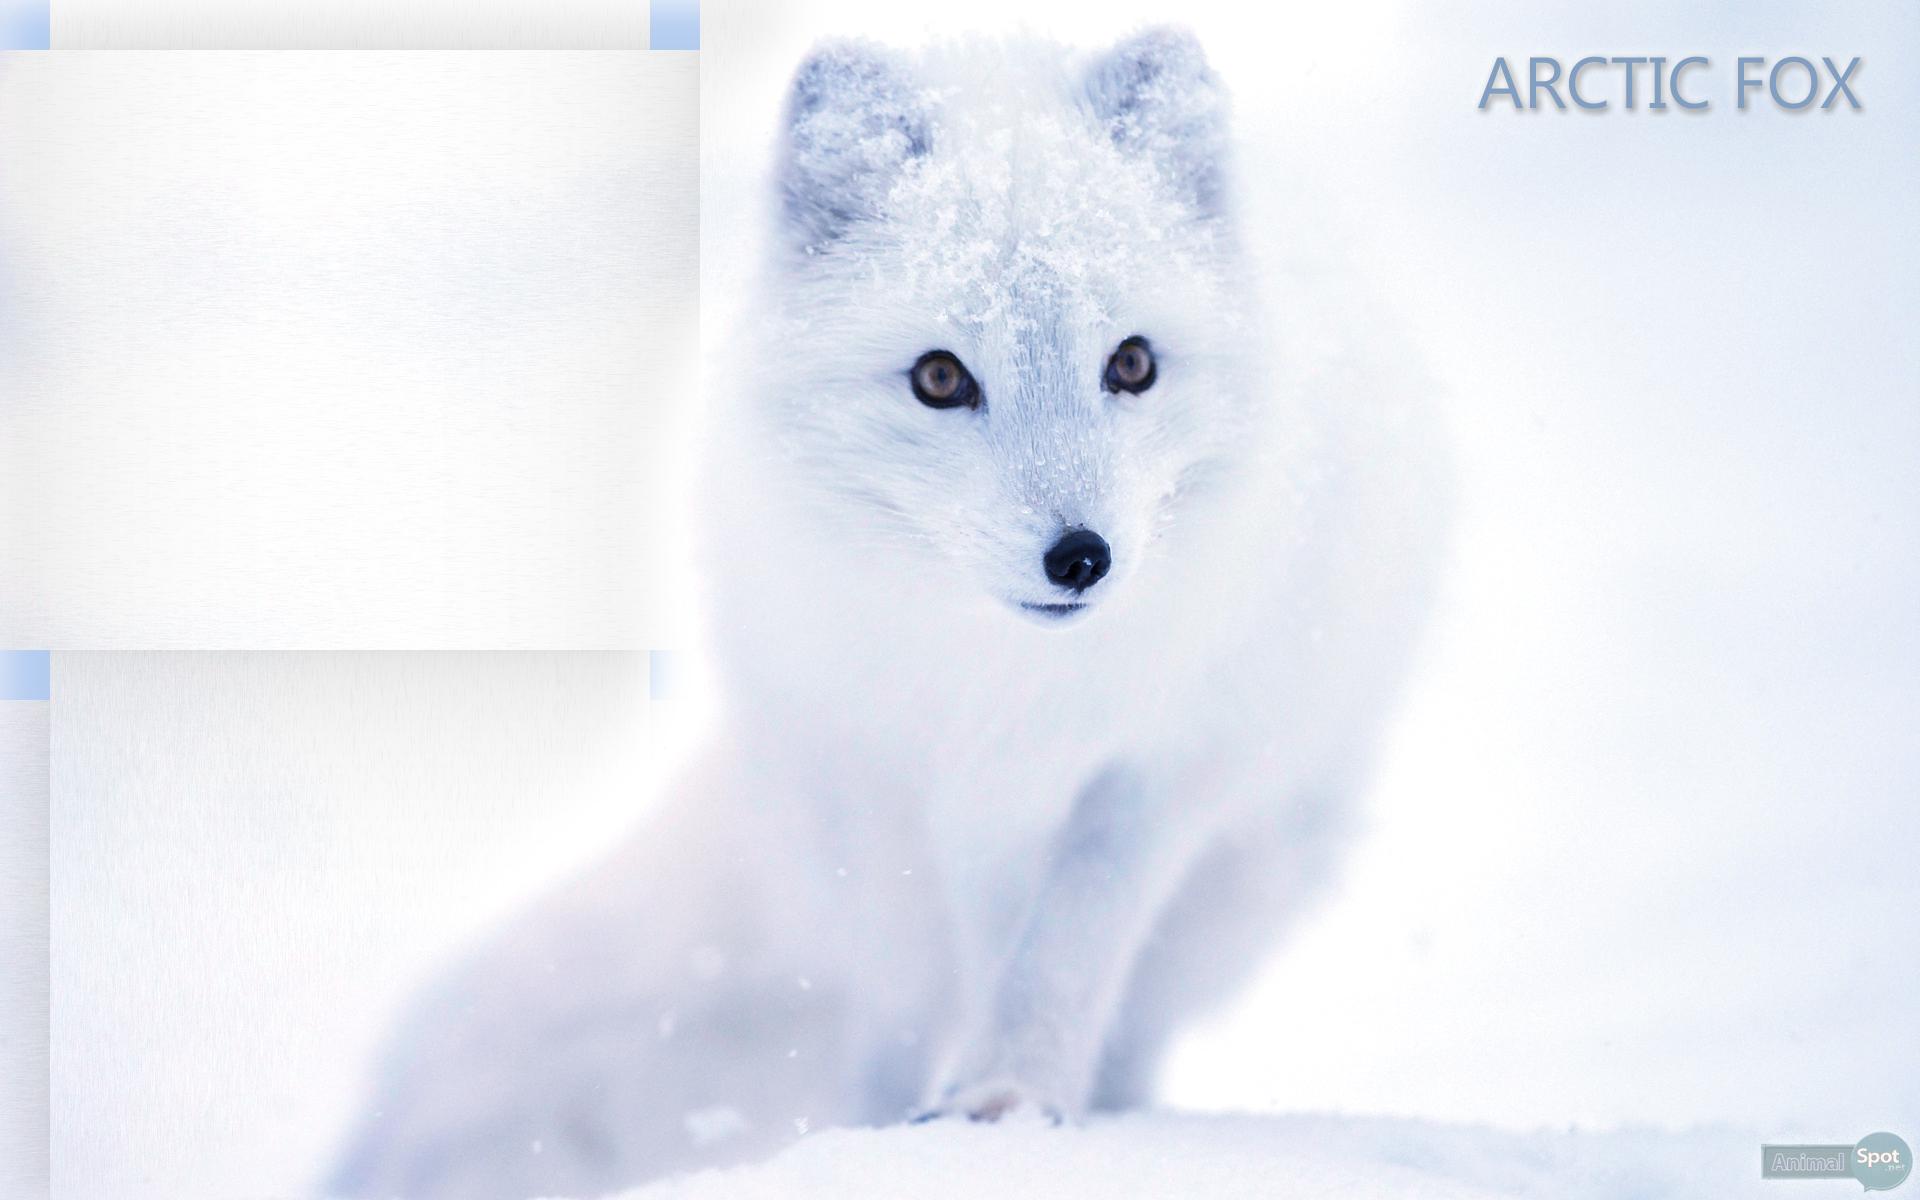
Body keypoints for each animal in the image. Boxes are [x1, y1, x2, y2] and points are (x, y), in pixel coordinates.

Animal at [327, 28, 1445, 1200]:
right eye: (941, 377)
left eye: (1132, 363)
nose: (1081, 557)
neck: (1004, 690)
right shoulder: (868, 772)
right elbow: (905, 993)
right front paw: (871, 1139)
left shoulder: (1159, 772)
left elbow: (1065, 951)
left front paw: (1009, 1103)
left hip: (1256, 865)